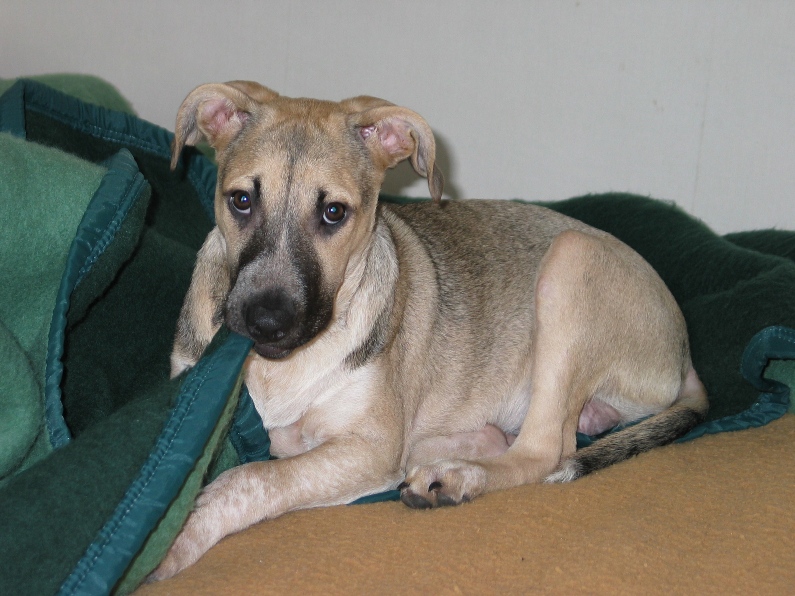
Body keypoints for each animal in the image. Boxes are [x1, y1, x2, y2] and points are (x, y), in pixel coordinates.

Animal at [152, 81, 712, 580]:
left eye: (333, 212)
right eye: (241, 201)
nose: (266, 322)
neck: (282, 366)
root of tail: (681, 347)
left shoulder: (369, 448)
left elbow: (251, 477)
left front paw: (177, 539)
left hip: (570, 264)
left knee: (544, 453)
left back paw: (457, 474)